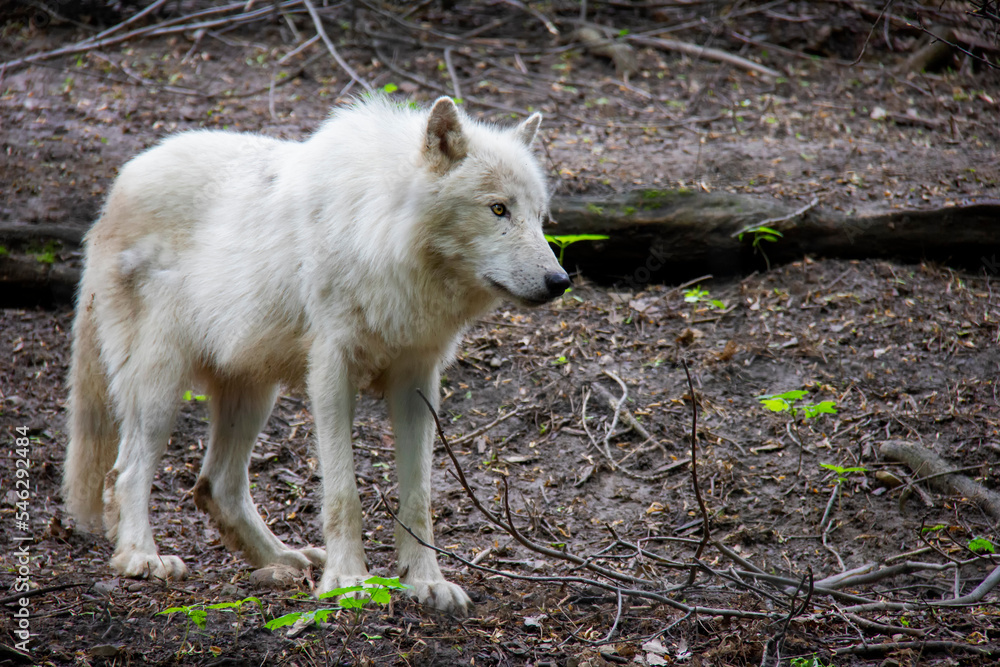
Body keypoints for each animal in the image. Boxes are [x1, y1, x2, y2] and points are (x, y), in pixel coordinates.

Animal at [63, 96, 569, 614]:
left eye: (540, 217)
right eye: (498, 209)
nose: (560, 281)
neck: (378, 232)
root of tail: (119, 186)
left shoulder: (418, 381)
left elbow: (419, 498)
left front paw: (426, 582)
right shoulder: (331, 371)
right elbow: (344, 493)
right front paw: (348, 581)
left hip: (253, 392)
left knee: (215, 487)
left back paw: (284, 559)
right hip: (161, 387)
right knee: (125, 473)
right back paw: (140, 557)